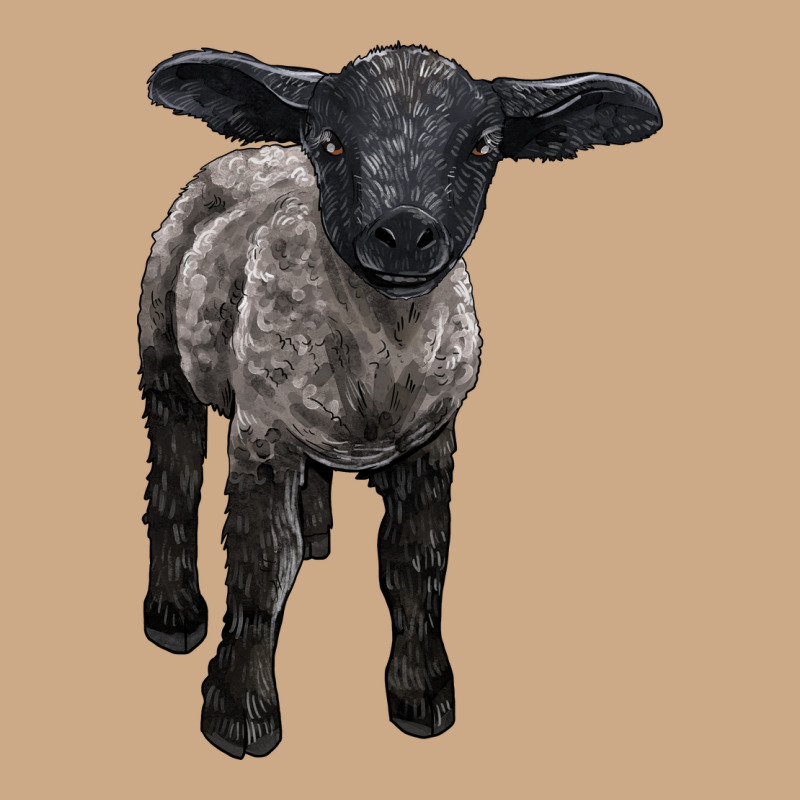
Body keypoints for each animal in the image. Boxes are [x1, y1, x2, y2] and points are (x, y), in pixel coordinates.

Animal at [140, 44, 662, 759]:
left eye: (482, 146)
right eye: (330, 142)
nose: (408, 233)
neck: (379, 356)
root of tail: (258, 153)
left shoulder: (431, 442)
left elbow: (415, 563)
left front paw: (421, 695)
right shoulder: (261, 434)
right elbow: (261, 565)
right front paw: (239, 712)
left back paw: (319, 532)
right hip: (162, 349)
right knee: (175, 470)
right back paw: (173, 612)